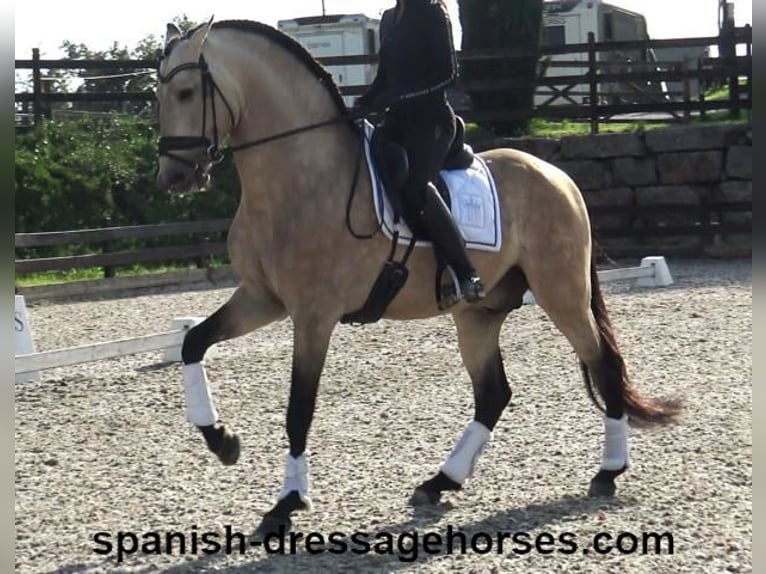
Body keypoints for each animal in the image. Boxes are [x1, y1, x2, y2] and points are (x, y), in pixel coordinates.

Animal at [156, 19, 684, 540]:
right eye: (158, 95)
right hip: (479, 312)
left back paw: (608, 472)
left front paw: (286, 503)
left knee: (602, 364)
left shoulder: (313, 316)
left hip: (562, 293)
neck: (298, 177)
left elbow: (298, 409)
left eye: (185, 92)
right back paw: (440, 482)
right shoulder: (262, 298)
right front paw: (222, 441)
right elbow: (193, 343)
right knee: (494, 394)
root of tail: (559, 176)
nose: (175, 177)